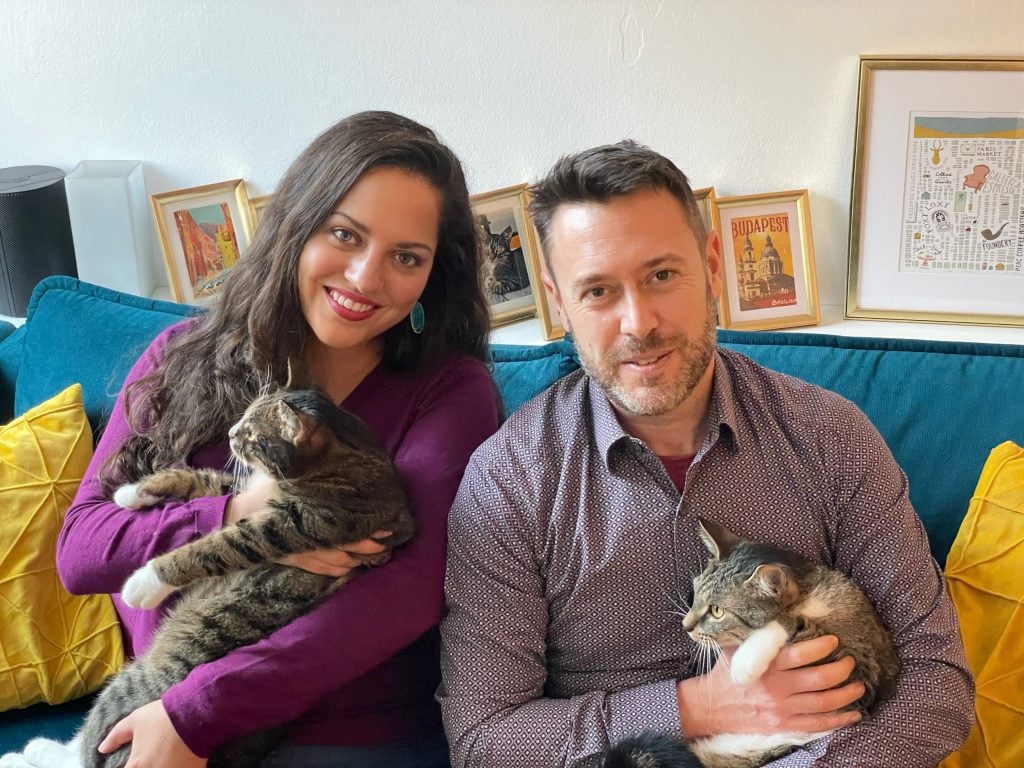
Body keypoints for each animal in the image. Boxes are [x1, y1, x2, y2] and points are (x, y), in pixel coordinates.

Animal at [7, 391, 415, 768]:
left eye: (250, 432)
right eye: (245, 418)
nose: (232, 431)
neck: (347, 457)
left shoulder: (294, 523)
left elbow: (215, 545)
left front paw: (145, 583)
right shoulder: (247, 495)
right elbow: (200, 481)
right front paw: (131, 492)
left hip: (131, 687)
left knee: (89, 754)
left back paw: (30, 753)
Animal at [602, 520, 901, 768]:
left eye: (717, 611)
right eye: (695, 594)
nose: (686, 626)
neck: (809, 596)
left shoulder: (862, 675)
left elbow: (791, 620)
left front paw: (746, 661)